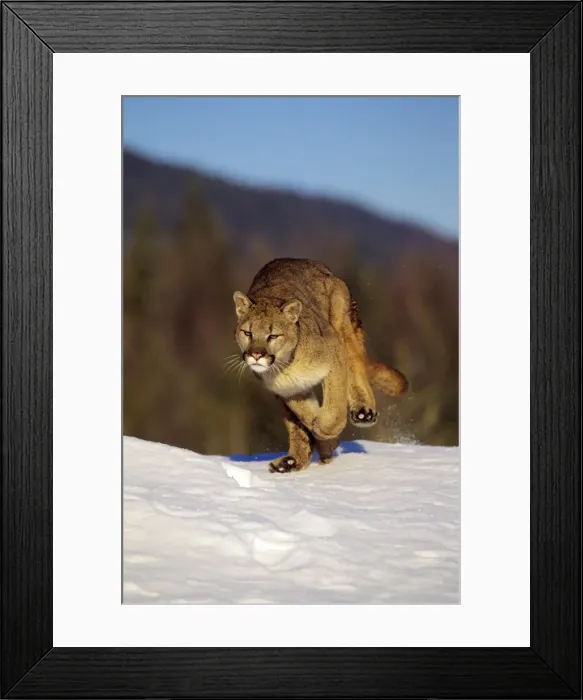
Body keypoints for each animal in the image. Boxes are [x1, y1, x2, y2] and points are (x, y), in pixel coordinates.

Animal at [232, 258, 408, 473]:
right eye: (247, 333)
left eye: (272, 335)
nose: (256, 354)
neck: (286, 367)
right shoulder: (288, 389)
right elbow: (304, 414)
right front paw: (322, 439)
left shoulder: (334, 358)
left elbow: (334, 409)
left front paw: (327, 434)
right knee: (295, 426)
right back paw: (290, 462)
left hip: (341, 324)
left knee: (355, 363)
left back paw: (363, 412)